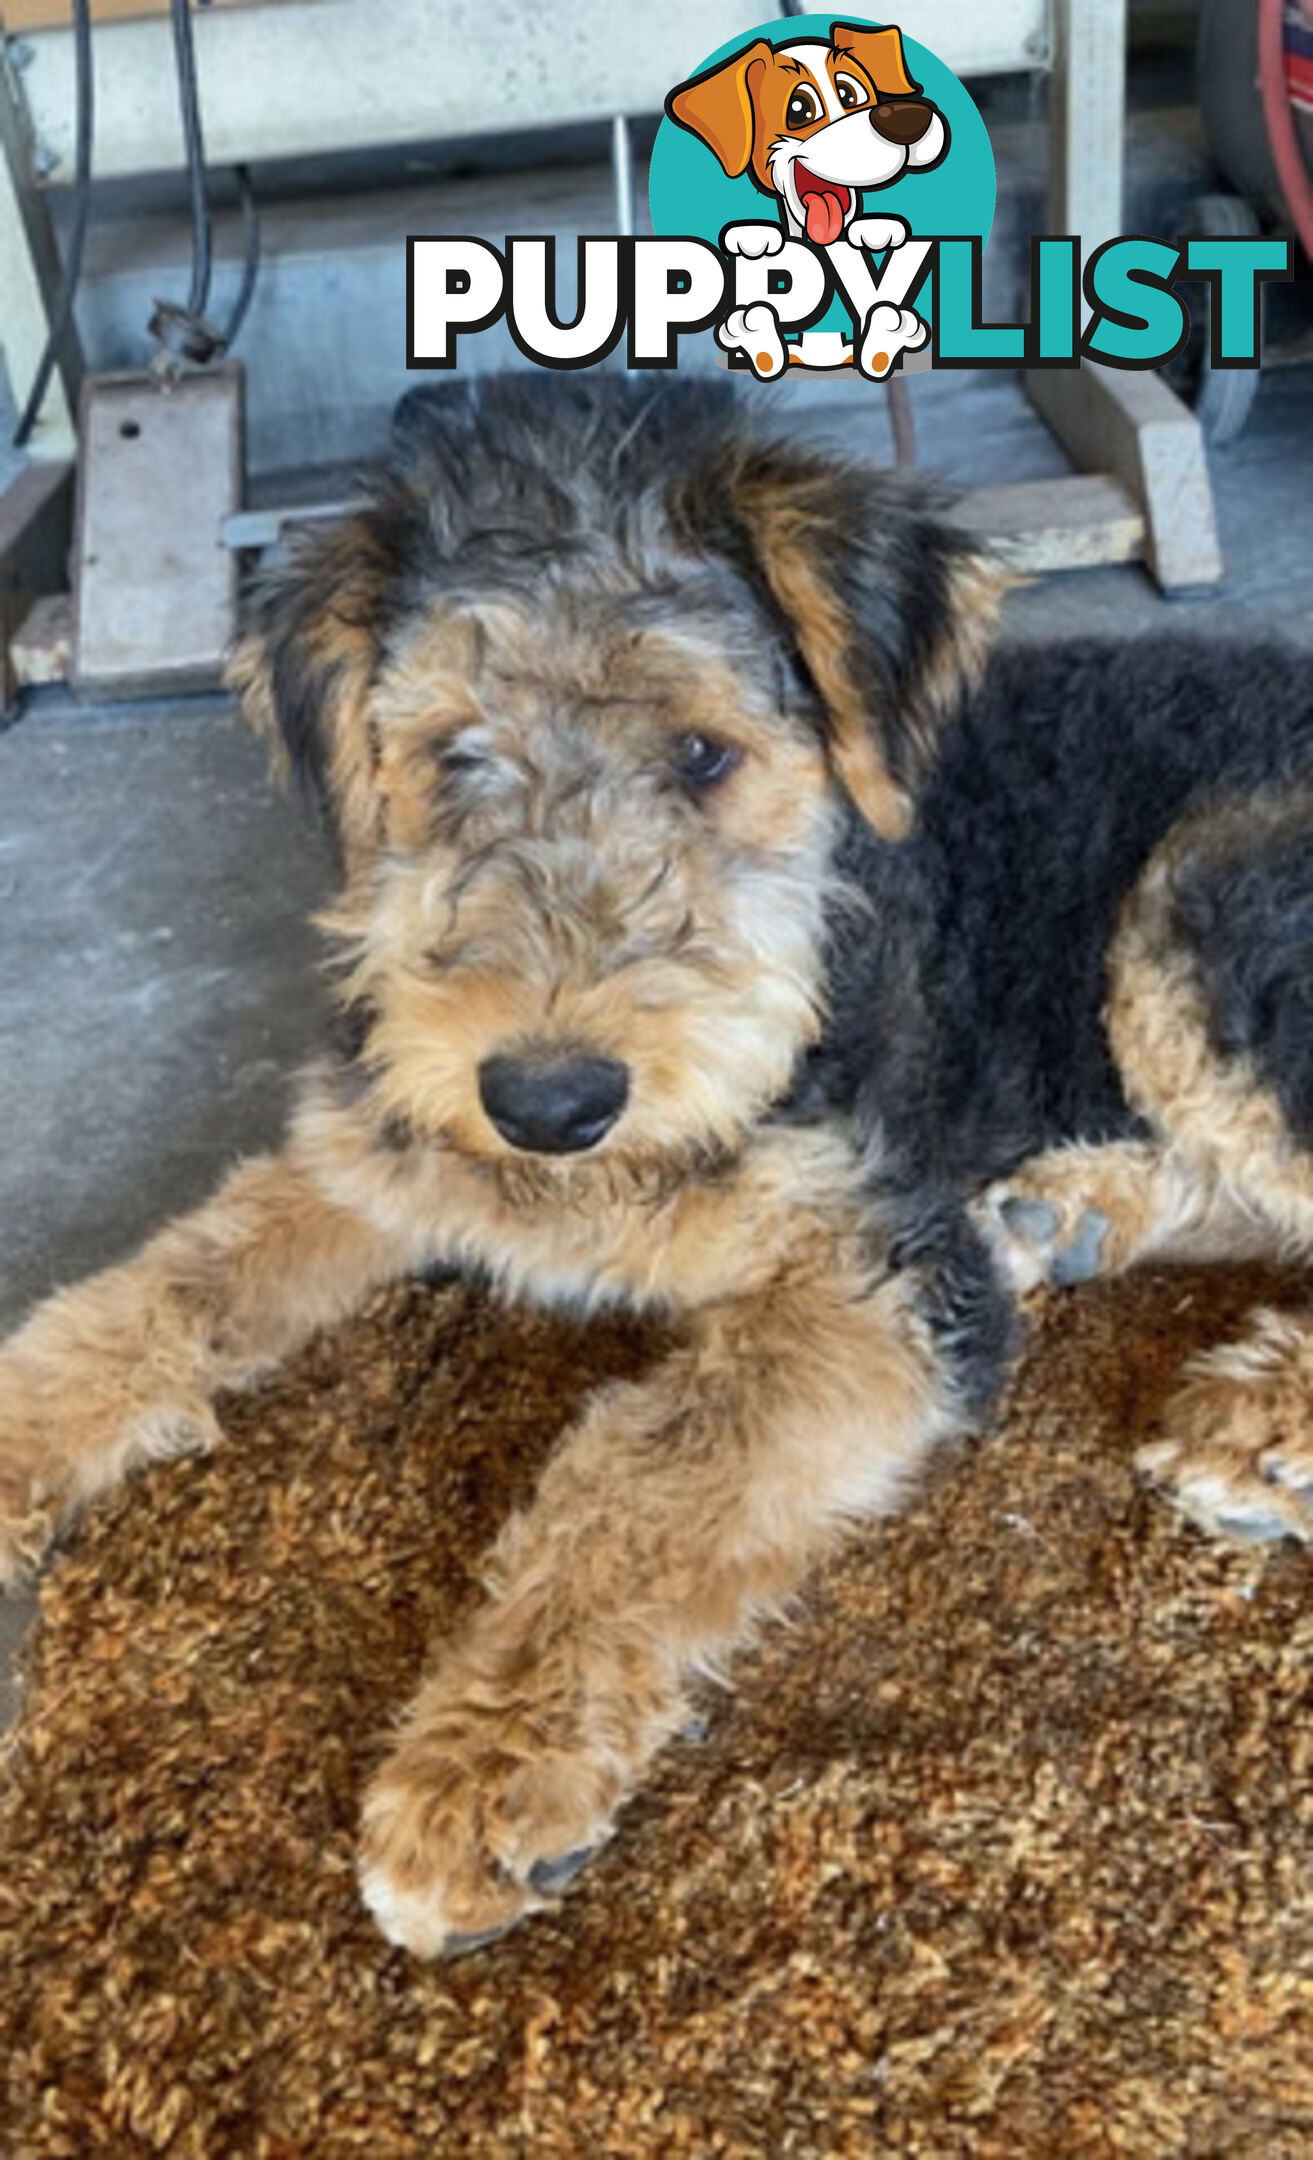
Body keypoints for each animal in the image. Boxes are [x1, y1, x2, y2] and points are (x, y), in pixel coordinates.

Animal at [2, 375, 1313, 1961]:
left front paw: (481, 1775)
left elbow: (640, 1486)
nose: (547, 1103)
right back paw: (1072, 1209)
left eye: (700, 754)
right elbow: (148, 1297)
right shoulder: (369, 1152)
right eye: (448, 753)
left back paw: (1260, 1421)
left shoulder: (873, 1284)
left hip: (1204, 901)